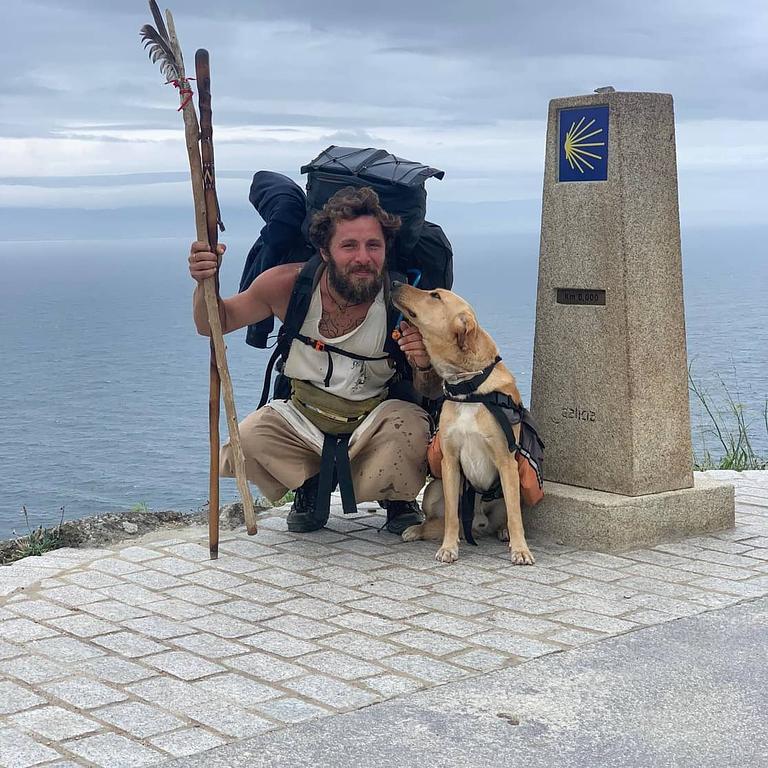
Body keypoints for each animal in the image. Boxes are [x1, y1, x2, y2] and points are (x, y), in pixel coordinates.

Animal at [391, 282, 535, 565]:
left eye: (435, 295)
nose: (394, 283)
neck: (469, 387)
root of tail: (479, 522)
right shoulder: (449, 461)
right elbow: (451, 519)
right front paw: (449, 547)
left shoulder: (506, 461)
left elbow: (515, 517)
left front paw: (521, 549)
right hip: (434, 488)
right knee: (440, 519)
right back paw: (418, 529)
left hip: (512, 486)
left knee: (508, 515)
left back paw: (503, 532)